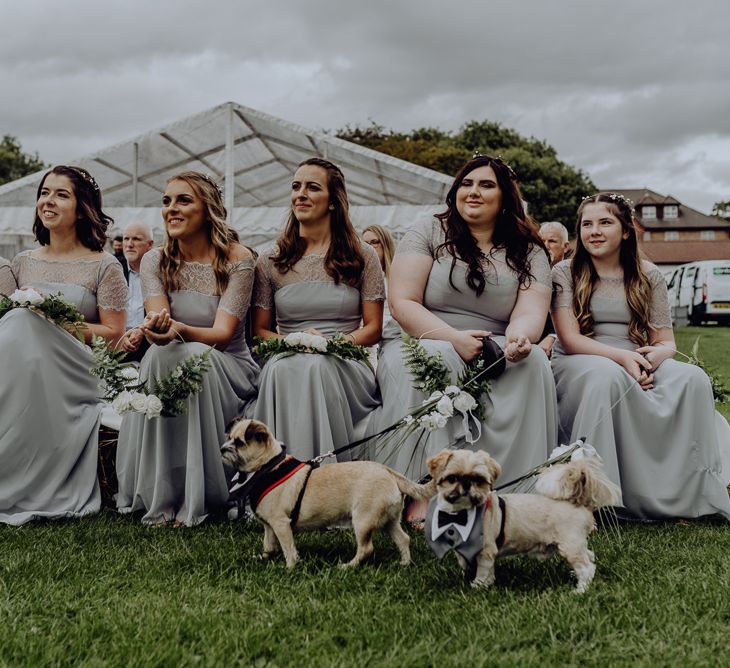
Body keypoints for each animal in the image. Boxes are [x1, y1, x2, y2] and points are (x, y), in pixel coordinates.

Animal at [218, 420, 432, 568]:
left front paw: (290, 567)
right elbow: (269, 545)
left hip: (362, 521)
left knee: (366, 549)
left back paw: (348, 566)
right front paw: (264, 558)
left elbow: (288, 548)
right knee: (403, 539)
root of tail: (389, 472)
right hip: (389, 521)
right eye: (229, 437)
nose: (222, 449)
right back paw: (404, 563)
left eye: (239, 442)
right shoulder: (269, 527)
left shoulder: (281, 525)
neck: (268, 467)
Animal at [424, 448, 616, 596]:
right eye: (452, 478)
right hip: (576, 544)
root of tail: (577, 502)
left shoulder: (486, 551)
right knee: (589, 556)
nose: (466, 484)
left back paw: (580, 590)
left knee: (587, 567)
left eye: (478, 480)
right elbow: (466, 562)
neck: (462, 516)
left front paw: (479, 585)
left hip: (570, 545)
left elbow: (483, 570)